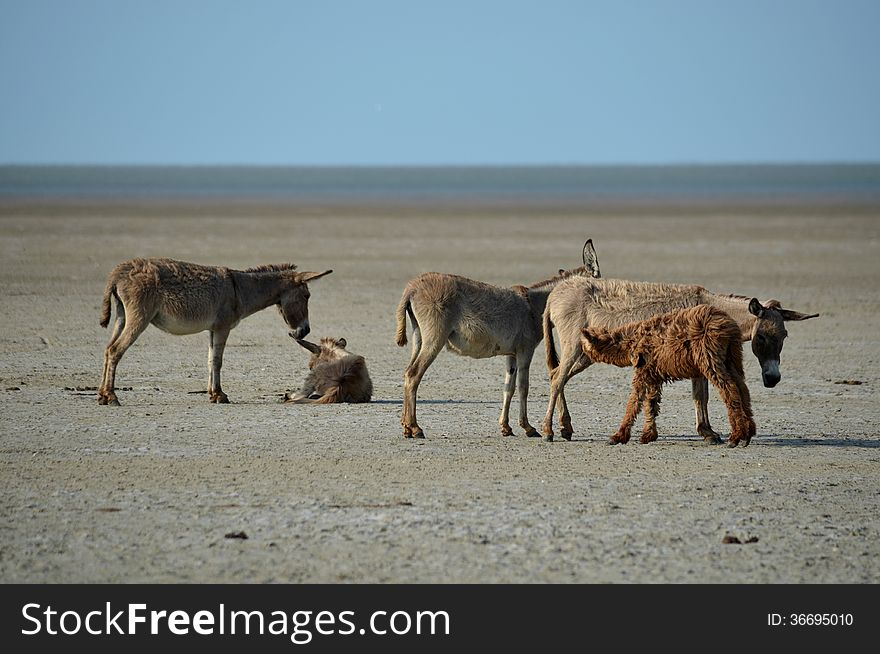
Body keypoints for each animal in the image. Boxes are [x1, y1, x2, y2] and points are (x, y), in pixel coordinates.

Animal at [576, 304, 756, 448]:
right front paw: (648, 435)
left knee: (729, 389)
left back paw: (735, 437)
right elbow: (651, 403)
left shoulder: (644, 371)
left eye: (582, 344)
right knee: (742, 388)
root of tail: (727, 324)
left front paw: (618, 436)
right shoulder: (653, 374)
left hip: (709, 355)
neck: (630, 342)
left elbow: (634, 401)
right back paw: (748, 434)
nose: (579, 356)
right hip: (732, 356)